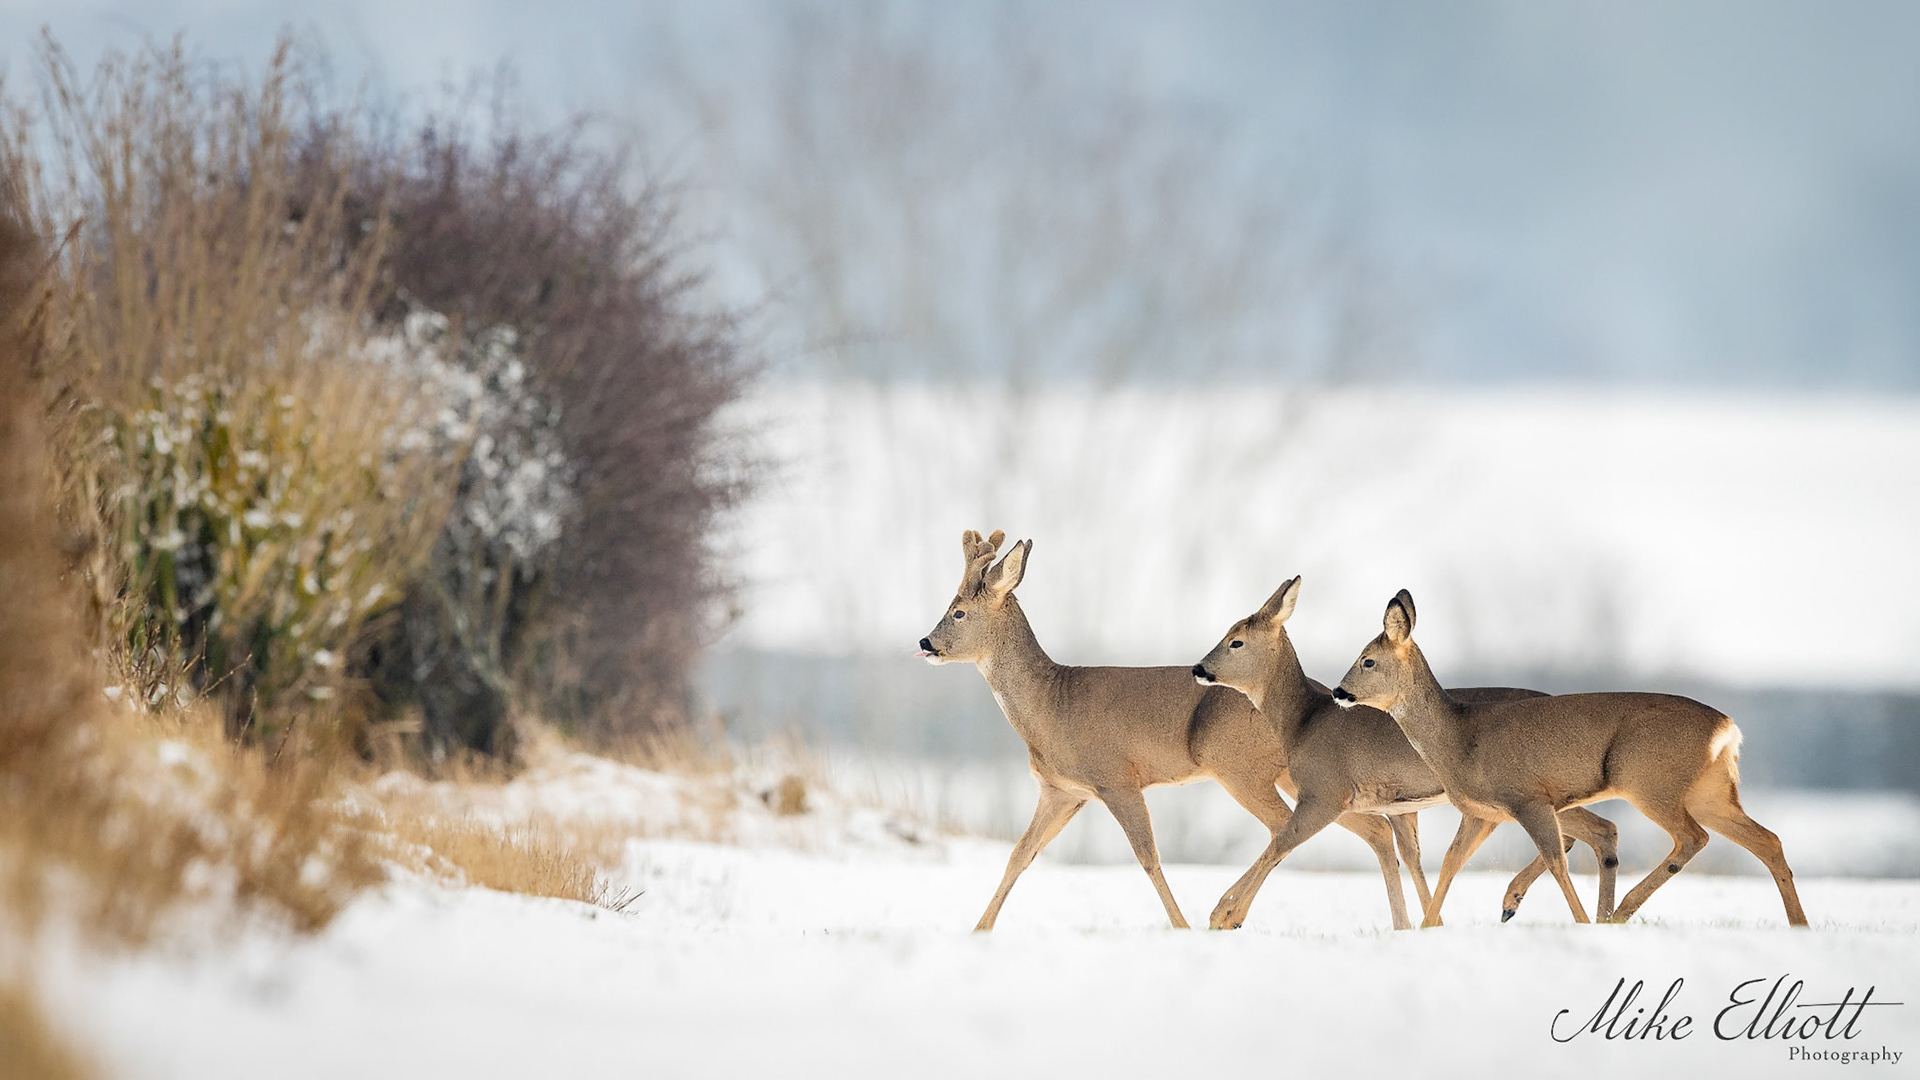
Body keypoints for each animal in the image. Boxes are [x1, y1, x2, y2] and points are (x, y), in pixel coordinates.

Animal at [1192, 575, 1618, 930]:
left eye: (1236, 641)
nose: (1198, 668)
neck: (1303, 722)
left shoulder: (1324, 792)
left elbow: (1281, 843)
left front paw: (1224, 915)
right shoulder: (1397, 805)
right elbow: (1409, 856)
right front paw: (1424, 924)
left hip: (1529, 792)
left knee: (1594, 831)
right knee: (1589, 833)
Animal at [1331, 589, 1808, 927]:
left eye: (1367, 660)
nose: (1339, 691)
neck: (1459, 738)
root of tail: (1727, 728)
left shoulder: (1527, 798)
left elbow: (1557, 862)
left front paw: (1578, 922)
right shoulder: (1482, 811)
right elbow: (1451, 862)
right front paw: (1430, 928)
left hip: (1651, 782)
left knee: (1693, 838)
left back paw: (1619, 913)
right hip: (1711, 790)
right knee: (1768, 840)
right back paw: (1799, 925)